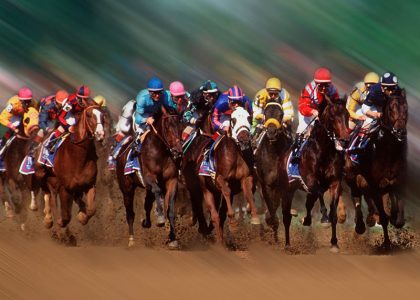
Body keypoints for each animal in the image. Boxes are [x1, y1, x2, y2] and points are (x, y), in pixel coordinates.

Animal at [34, 102, 104, 231]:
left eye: (103, 116)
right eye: (88, 115)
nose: (100, 134)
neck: (78, 156)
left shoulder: (89, 184)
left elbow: (92, 209)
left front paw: (82, 217)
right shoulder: (65, 188)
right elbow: (66, 216)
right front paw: (60, 222)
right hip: (41, 173)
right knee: (47, 194)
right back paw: (48, 219)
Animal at [118, 109, 184, 248]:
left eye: (181, 126)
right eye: (168, 127)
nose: (178, 151)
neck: (160, 152)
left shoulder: (172, 180)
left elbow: (170, 210)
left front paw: (173, 239)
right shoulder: (149, 177)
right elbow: (157, 191)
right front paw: (160, 219)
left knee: (147, 203)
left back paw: (146, 222)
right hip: (127, 188)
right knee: (130, 213)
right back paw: (131, 240)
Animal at [256, 102, 292, 243]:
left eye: (280, 114)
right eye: (265, 113)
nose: (271, 132)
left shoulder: (281, 185)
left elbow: (275, 204)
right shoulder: (266, 184)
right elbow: (270, 204)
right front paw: (270, 222)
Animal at [278, 97, 348, 250]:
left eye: (347, 115)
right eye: (332, 116)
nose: (345, 139)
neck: (323, 152)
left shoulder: (335, 182)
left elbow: (333, 212)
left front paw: (334, 242)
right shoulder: (310, 180)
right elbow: (320, 193)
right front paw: (324, 219)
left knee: (309, 204)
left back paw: (306, 220)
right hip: (287, 189)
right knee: (286, 216)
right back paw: (287, 244)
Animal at [344, 89, 406, 248]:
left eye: (406, 108)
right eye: (390, 109)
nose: (400, 132)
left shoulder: (395, 183)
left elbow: (397, 217)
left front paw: (395, 218)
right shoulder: (376, 186)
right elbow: (384, 217)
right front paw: (387, 244)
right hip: (352, 176)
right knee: (356, 196)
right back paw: (360, 225)